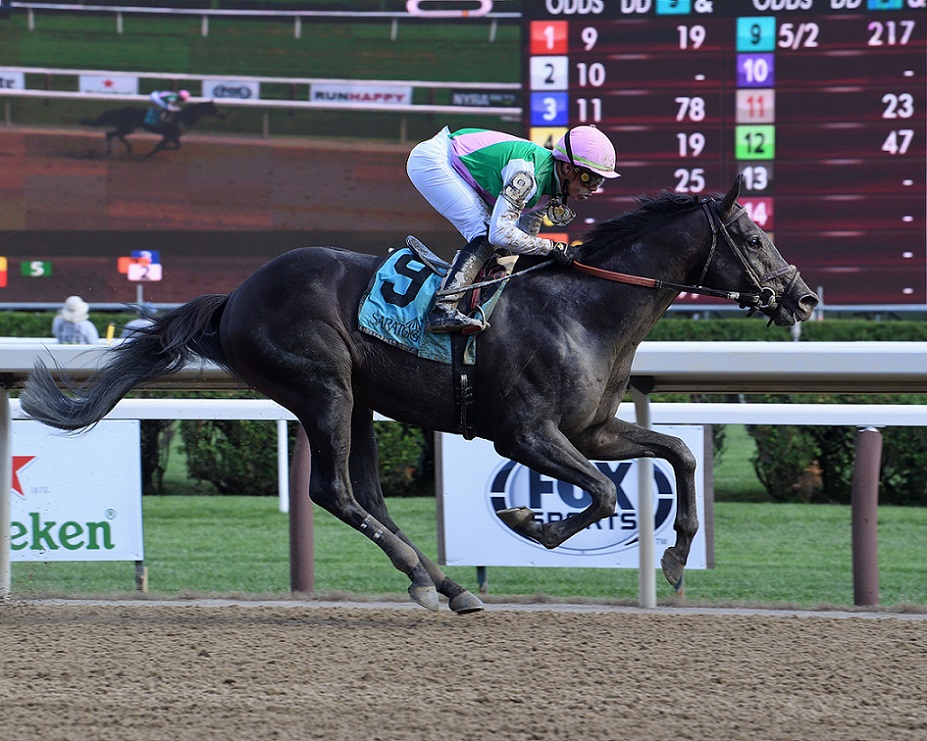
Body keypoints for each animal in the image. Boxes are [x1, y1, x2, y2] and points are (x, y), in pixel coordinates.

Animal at [20, 175, 818, 614]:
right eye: (753, 236)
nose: (804, 297)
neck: (583, 309)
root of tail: (235, 296)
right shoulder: (526, 434)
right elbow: (597, 492)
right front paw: (533, 526)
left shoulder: (592, 429)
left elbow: (677, 451)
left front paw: (678, 556)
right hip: (325, 388)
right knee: (334, 491)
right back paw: (431, 578)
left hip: (361, 401)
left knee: (367, 495)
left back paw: (444, 584)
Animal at [79, 100, 226, 157]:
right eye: (214, 108)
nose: (223, 115)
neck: (182, 117)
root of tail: (122, 110)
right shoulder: (170, 135)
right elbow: (169, 146)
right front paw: (152, 153)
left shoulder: (170, 136)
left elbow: (171, 146)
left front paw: (150, 153)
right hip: (127, 127)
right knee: (111, 134)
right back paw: (112, 151)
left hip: (127, 127)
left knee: (113, 134)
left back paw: (127, 149)